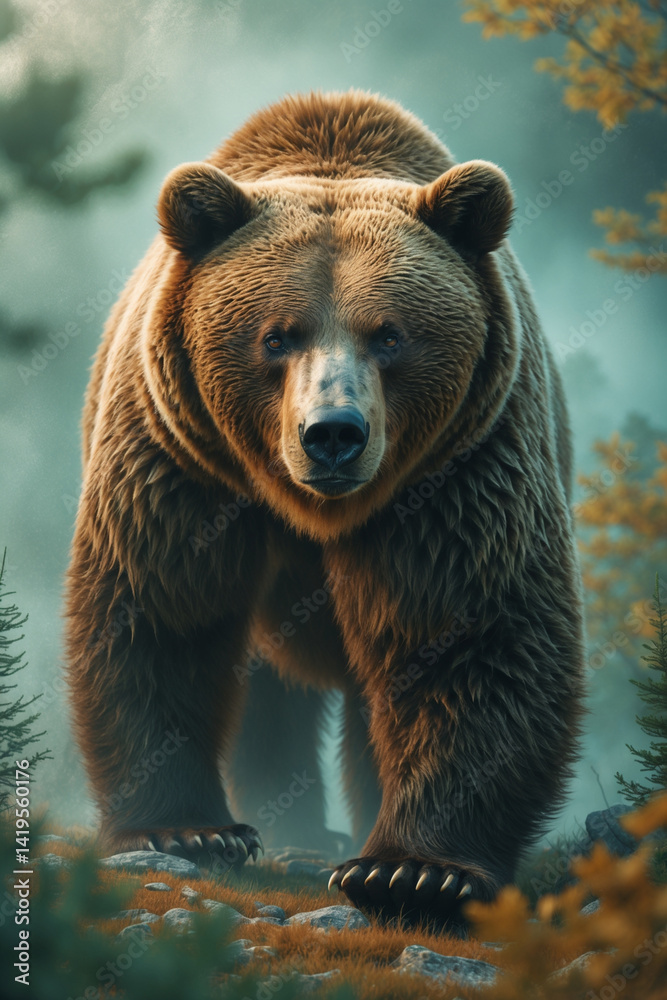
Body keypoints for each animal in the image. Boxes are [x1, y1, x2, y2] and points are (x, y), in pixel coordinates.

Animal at [65, 89, 584, 931]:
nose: (333, 433)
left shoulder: (460, 472)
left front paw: (412, 873)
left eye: (391, 335)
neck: (311, 510)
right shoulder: (181, 462)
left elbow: (471, 635)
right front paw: (189, 830)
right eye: (276, 336)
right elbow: (161, 614)